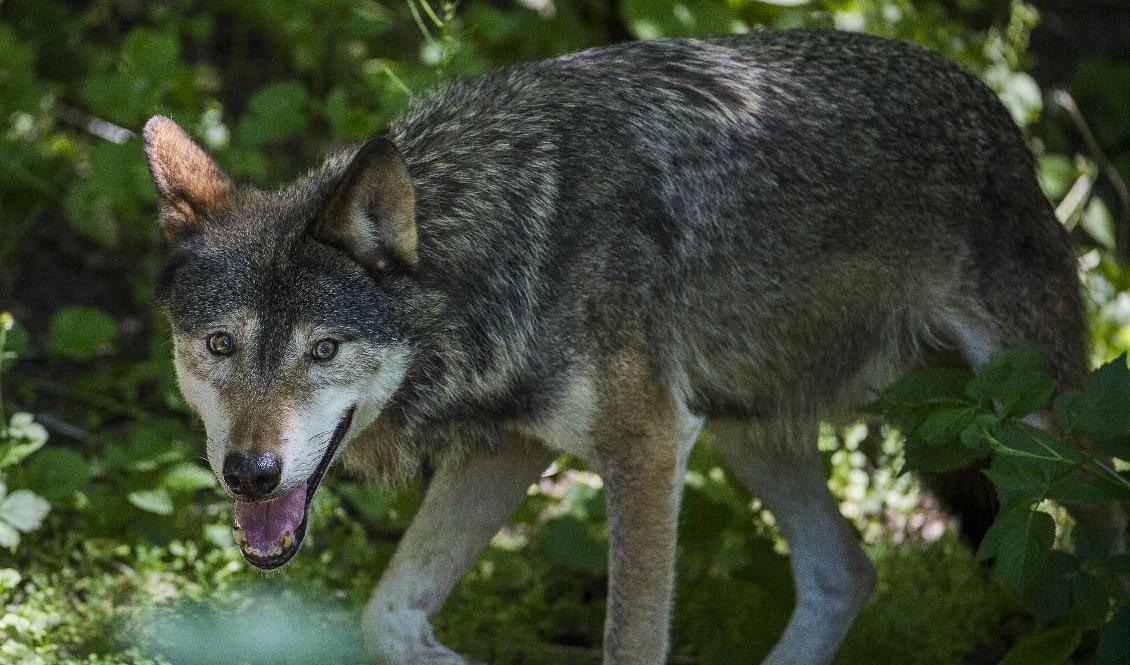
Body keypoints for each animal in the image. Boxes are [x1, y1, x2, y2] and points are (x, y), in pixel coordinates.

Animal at [145, 27, 1125, 665]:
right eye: (220, 344)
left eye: (323, 348)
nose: (251, 473)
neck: (512, 245)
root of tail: (995, 104)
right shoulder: (510, 447)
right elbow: (388, 618)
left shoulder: (645, 447)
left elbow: (629, 641)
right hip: (739, 426)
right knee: (844, 571)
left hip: (1044, 418)